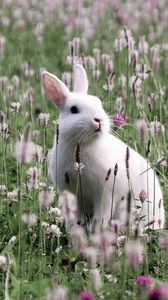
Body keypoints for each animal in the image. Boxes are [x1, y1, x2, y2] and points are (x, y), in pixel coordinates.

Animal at [41, 64, 165, 231]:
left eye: (98, 104)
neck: (85, 145)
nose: (98, 119)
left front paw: (96, 233)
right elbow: (74, 219)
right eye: (73, 109)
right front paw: (75, 234)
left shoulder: (105, 195)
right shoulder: (69, 194)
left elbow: (101, 217)